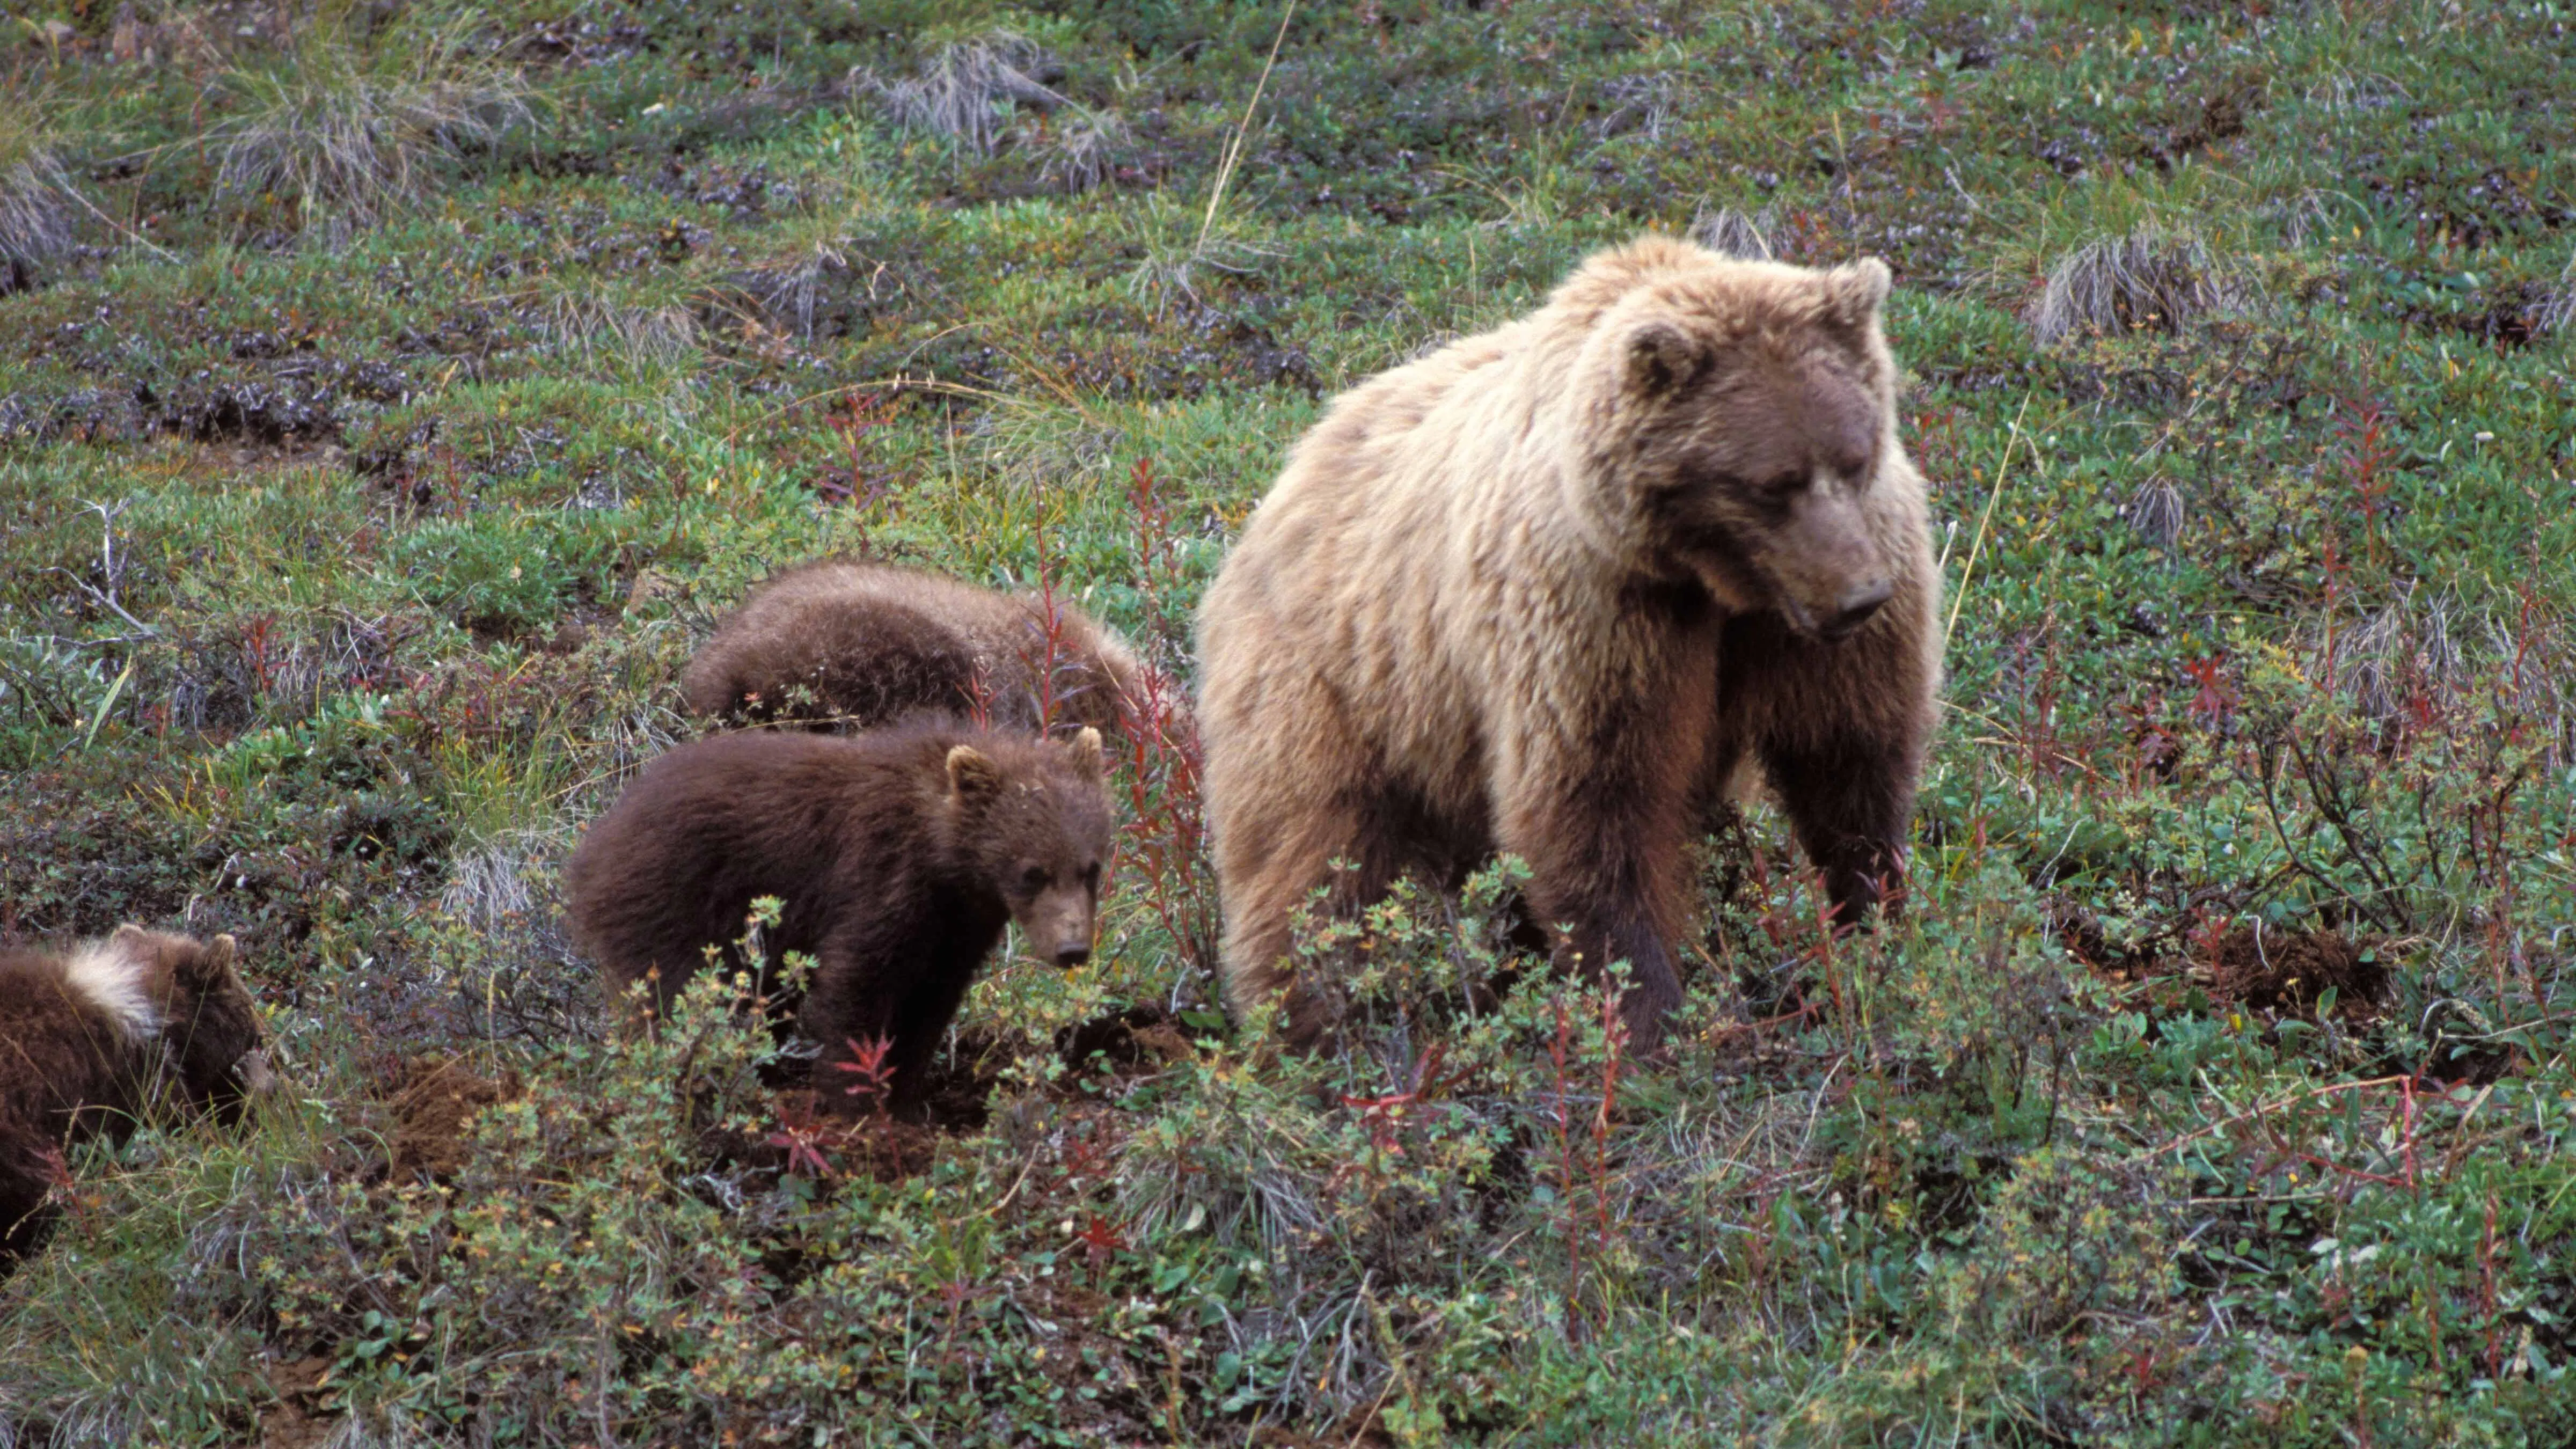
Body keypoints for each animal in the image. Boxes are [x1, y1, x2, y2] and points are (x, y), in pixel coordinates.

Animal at [562, 721, 1114, 1114]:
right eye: (1032, 872)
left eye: (1091, 868)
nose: (1072, 949)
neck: (945, 856)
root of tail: (593, 846)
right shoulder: (881, 876)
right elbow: (858, 983)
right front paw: (859, 1106)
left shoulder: (957, 925)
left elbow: (929, 1005)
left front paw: (907, 1101)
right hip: (674, 903)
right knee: (679, 996)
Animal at [1195, 235, 1942, 1053]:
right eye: (1773, 482)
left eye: (1855, 456)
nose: (1859, 595)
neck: (1711, 579)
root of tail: (1287, 476)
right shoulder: (1592, 609)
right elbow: (1592, 798)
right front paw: (1649, 1015)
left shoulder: (1822, 619)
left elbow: (1850, 760)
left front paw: (1873, 927)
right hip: (1337, 685)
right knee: (1313, 859)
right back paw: (1311, 1028)